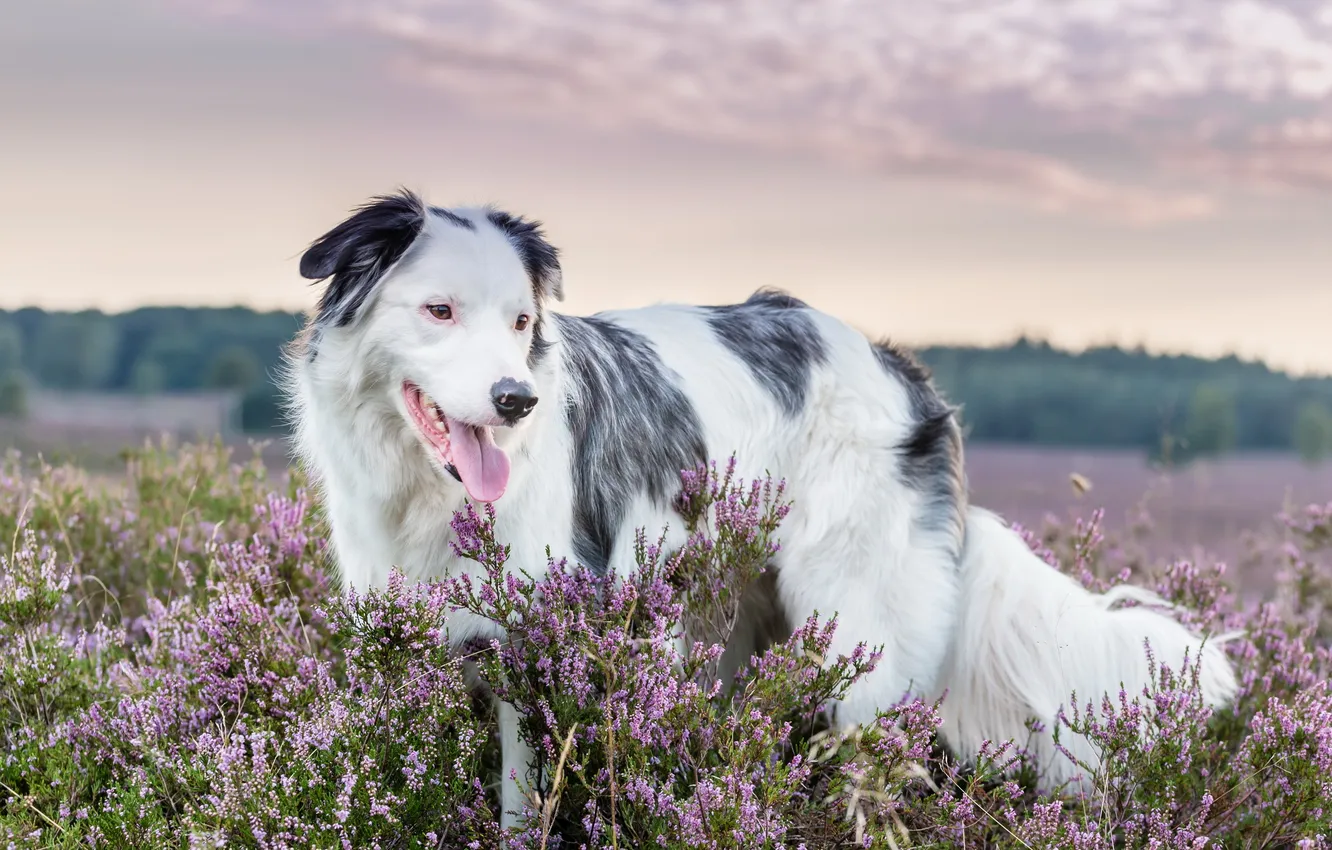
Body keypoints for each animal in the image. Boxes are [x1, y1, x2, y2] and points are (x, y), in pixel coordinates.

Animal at [286, 189, 1241, 831]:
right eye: (439, 311)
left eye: (522, 322)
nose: (517, 400)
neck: (427, 491)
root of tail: (902, 369)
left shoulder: (541, 639)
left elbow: (526, 799)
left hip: (857, 629)